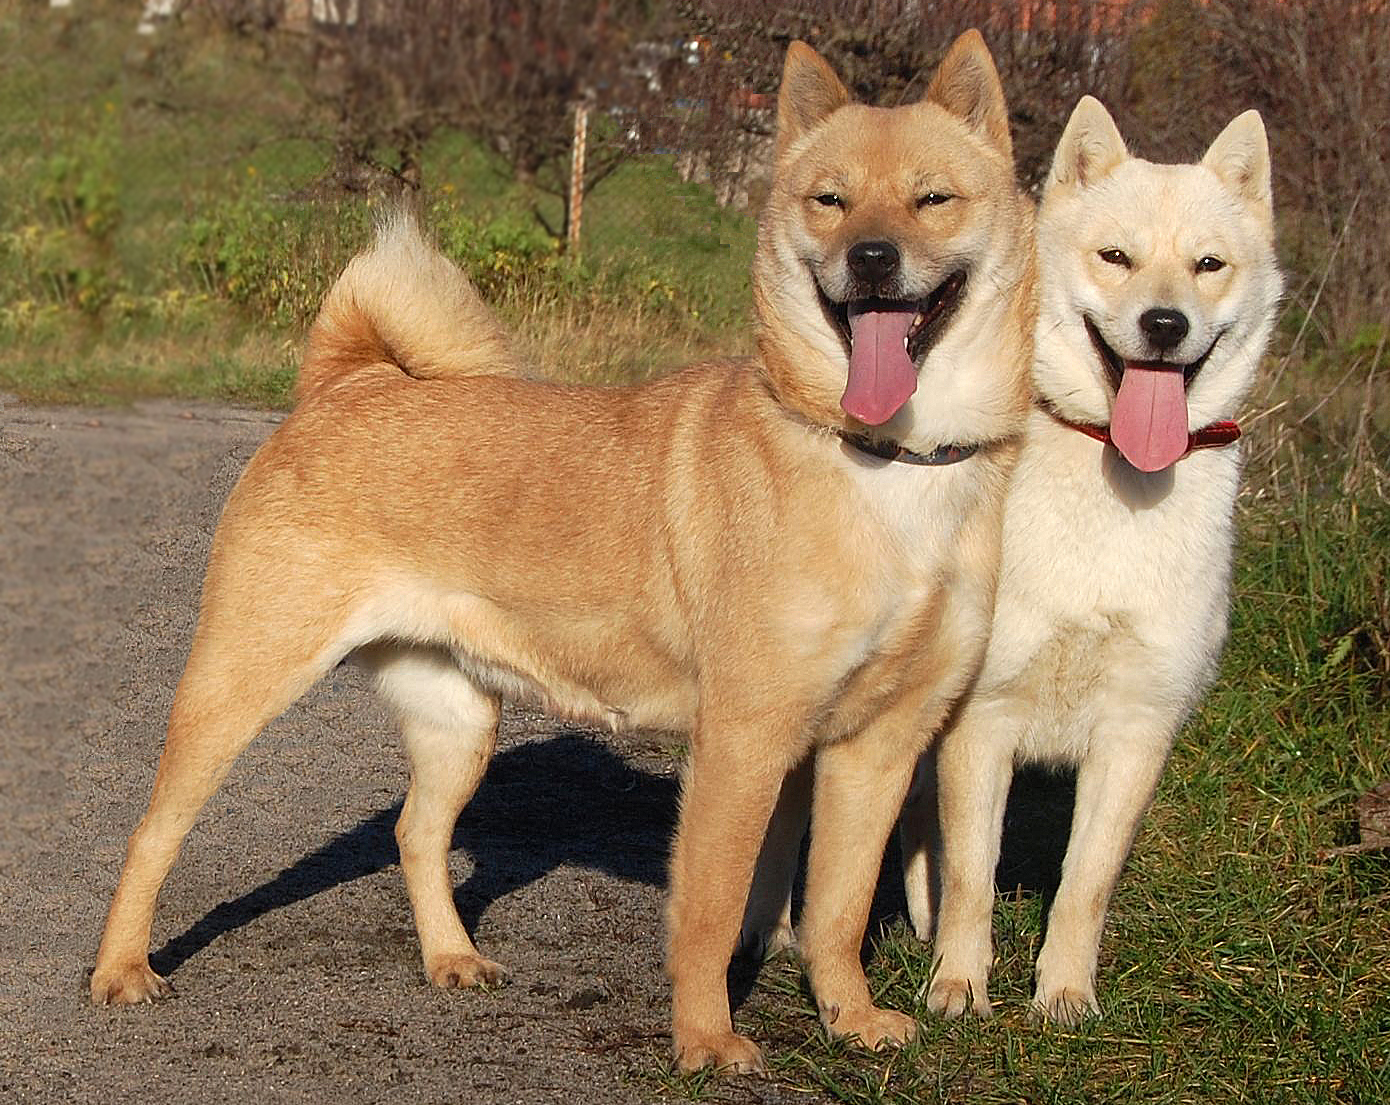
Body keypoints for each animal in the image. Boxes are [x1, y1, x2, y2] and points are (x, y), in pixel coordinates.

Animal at [89, 32, 1034, 1073]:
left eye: (932, 198)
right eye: (829, 200)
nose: (870, 257)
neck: (887, 462)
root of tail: (347, 384)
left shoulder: (878, 746)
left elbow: (838, 909)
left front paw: (852, 1017)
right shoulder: (745, 743)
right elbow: (711, 913)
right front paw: (707, 1039)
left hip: (458, 720)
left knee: (416, 834)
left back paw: (451, 957)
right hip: (240, 684)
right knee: (153, 830)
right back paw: (122, 969)